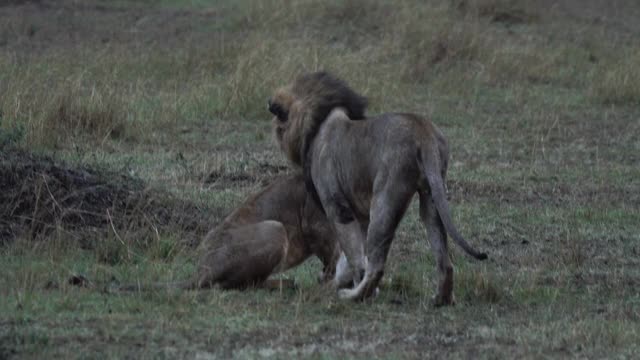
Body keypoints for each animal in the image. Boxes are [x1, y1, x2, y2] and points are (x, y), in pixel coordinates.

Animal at [268, 71, 488, 306]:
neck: (318, 121)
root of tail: (424, 132)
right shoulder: (359, 215)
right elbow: (350, 256)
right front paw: (337, 280)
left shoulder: (338, 208)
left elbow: (355, 257)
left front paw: (352, 286)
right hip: (432, 197)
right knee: (445, 262)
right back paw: (441, 299)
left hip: (385, 199)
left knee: (377, 267)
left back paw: (354, 296)